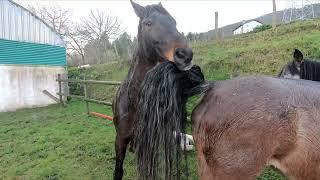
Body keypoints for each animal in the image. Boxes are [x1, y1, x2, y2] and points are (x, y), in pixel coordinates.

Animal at [112, 0, 192, 179]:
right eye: (148, 23)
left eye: (174, 22)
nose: (185, 55)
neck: (134, 103)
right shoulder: (120, 140)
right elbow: (118, 171)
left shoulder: (150, 144)